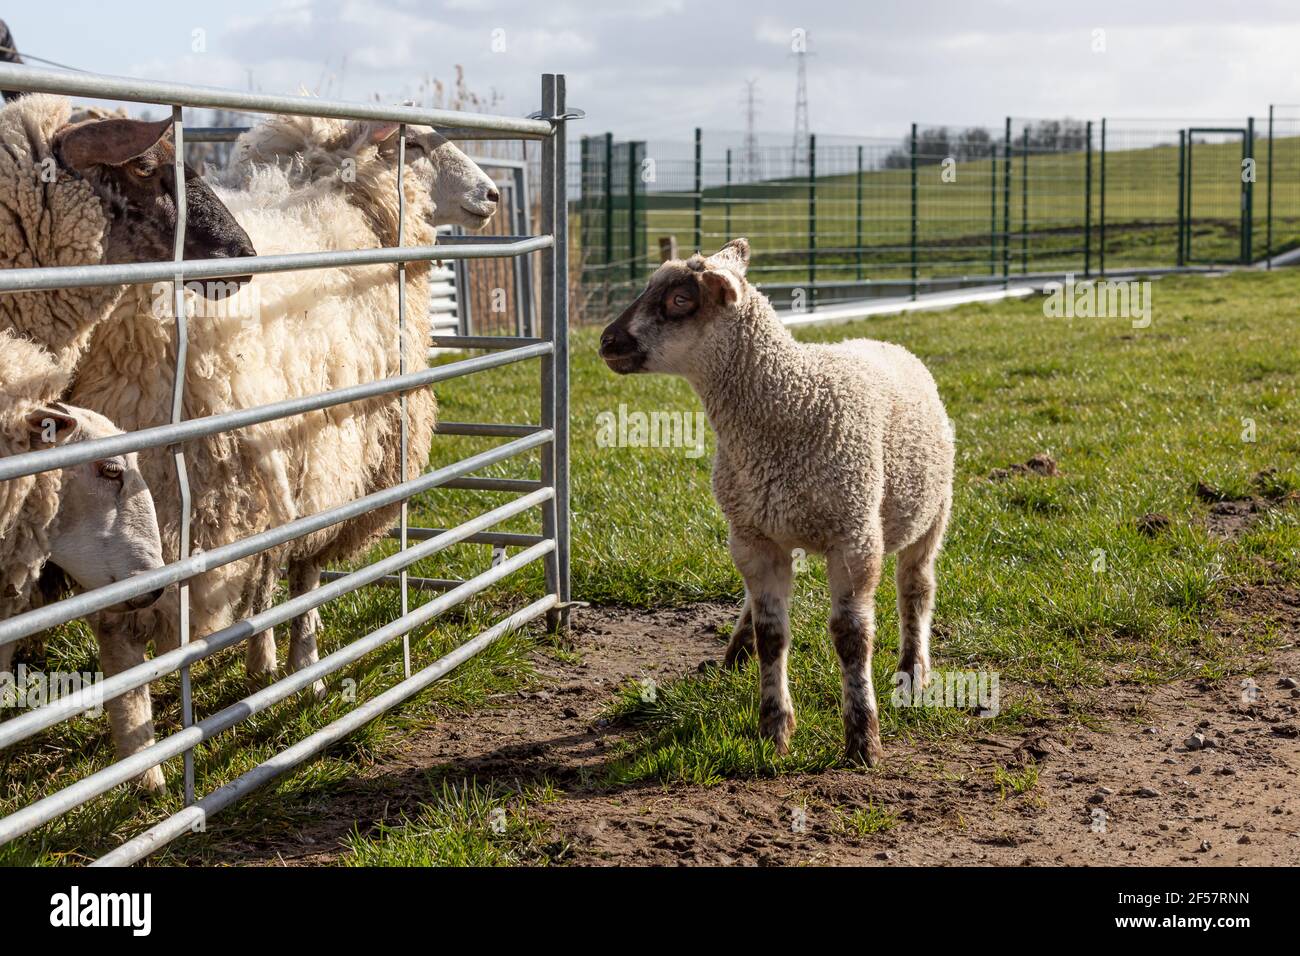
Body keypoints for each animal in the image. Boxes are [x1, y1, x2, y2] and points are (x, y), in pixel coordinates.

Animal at [68, 111, 499, 790]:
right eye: (417, 143)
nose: (493, 195)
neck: (346, 213)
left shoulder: (283, 467)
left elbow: (266, 575)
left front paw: (261, 662)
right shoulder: (331, 461)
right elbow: (306, 575)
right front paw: (307, 668)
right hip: (166, 484)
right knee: (120, 630)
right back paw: (146, 769)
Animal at [598, 240, 956, 770]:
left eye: (680, 300)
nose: (606, 341)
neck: (787, 402)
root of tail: (885, 342)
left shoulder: (854, 537)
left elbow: (852, 639)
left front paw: (862, 739)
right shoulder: (752, 536)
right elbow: (773, 635)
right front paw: (773, 730)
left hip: (932, 513)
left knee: (916, 588)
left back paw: (913, 673)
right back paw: (738, 651)